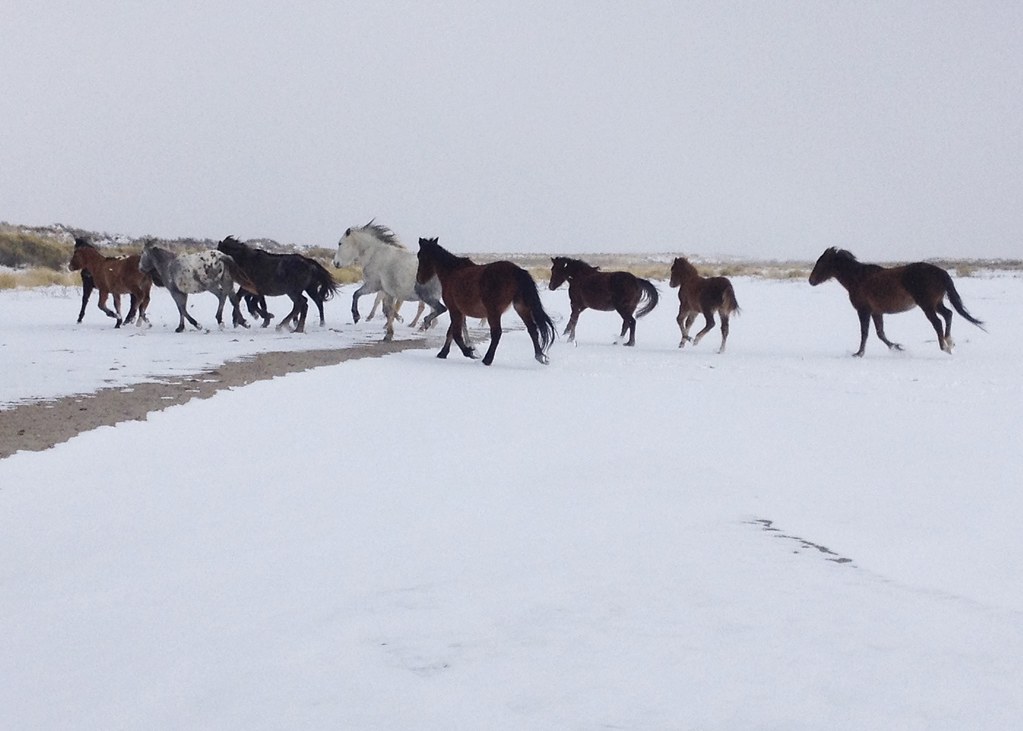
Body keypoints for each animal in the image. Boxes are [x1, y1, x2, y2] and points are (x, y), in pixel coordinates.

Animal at [416, 237, 556, 365]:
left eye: (420, 256)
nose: (419, 279)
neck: (452, 273)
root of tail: (517, 271)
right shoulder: (459, 312)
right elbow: (451, 332)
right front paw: (443, 353)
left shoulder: (454, 309)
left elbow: (455, 333)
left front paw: (470, 352)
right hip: (520, 307)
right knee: (532, 329)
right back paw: (540, 356)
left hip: (494, 312)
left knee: (497, 333)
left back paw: (487, 360)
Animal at [808, 247, 984, 356]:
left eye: (821, 262)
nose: (811, 281)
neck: (858, 278)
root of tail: (941, 273)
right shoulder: (876, 312)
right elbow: (880, 334)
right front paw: (898, 348)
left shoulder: (863, 311)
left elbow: (865, 333)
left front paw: (858, 353)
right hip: (936, 303)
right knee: (948, 314)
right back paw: (949, 342)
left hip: (927, 305)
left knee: (937, 322)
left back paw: (944, 347)